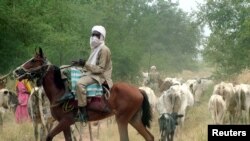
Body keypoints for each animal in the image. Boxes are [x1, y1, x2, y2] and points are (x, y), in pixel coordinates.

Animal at [13, 47, 154, 141]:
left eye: (33, 60)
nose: (17, 71)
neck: (60, 91)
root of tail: (139, 90)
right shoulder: (65, 124)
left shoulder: (66, 121)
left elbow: (48, 136)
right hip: (133, 119)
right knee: (149, 137)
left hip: (122, 119)